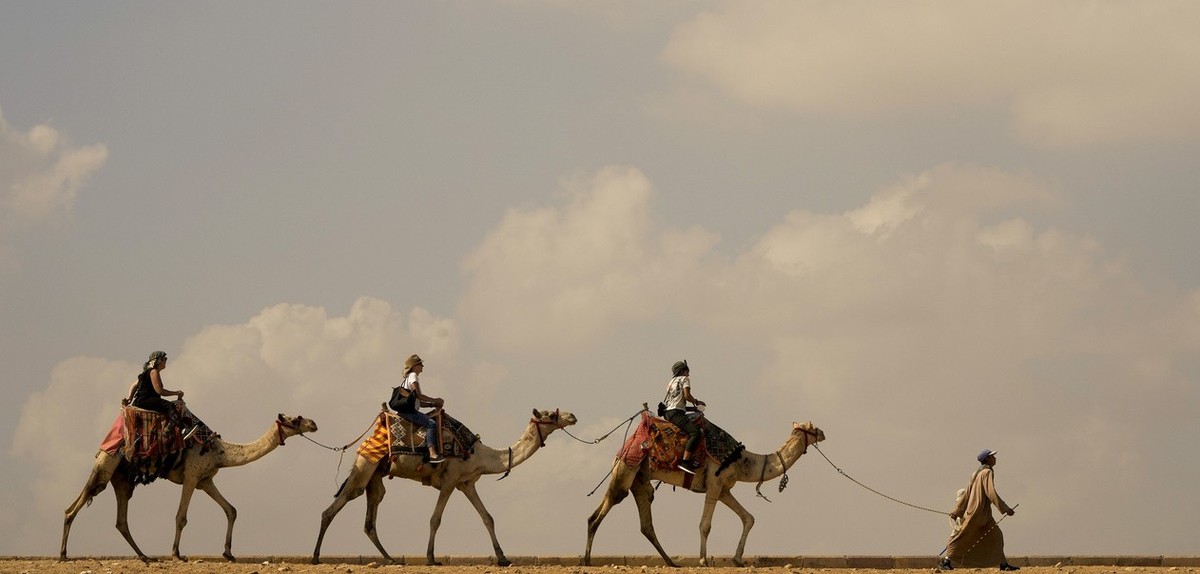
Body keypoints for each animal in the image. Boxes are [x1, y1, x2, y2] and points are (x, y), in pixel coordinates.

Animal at [61, 413, 319, 562]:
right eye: (294, 420)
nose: (313, 423)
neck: (221, 452)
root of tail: (104, 447)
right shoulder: (191, 477)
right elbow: (181, 517)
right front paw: (176, 553)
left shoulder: (206, 480)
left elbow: (231, 509)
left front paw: (228, 553)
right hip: (106, 466)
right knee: (77, 504)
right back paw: (63, 554)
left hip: (122, 479)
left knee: (120, 520)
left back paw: (145, 556)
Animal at [311, 408, 578, 566]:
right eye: (551, 415)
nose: (572, 416)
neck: (482, 455)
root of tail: (366, 440)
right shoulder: (450, 480)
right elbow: (435, 519)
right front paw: (431, 558)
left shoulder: (466, 483)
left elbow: (487, 517)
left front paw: (503, 558)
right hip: (365, 466)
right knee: (333, 508)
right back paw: (315, 557)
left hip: (376, 475)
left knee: (371, 516)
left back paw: (392, 559)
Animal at [584, 420, 825, 567]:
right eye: (813, 428)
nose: (823, 433)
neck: (742, 460)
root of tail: (621, 451)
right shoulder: (715, 484)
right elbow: (705, 525)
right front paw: (703, 561)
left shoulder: (724, 489)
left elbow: (748, 518)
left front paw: (738, 559)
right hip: (626, 470)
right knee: (599, 513)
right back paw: (586, 560)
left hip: (640, 481)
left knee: (646, 524)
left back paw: (672, 562)